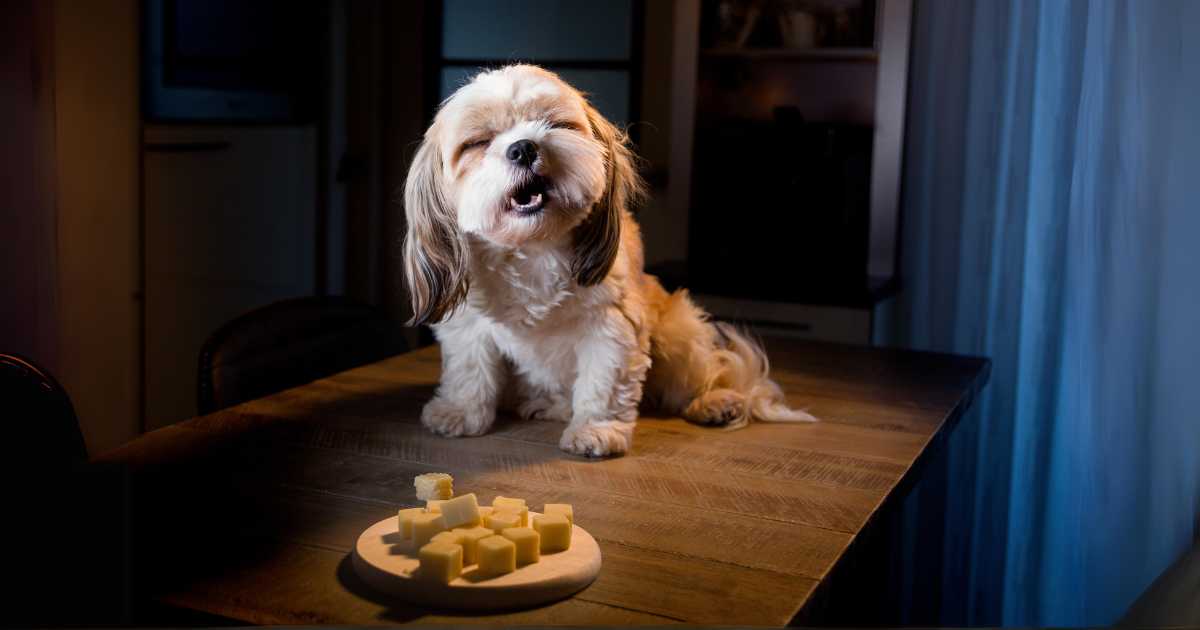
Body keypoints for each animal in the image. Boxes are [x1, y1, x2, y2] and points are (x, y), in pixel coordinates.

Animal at [403, 65, 816, 456]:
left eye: (556, 124)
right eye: (478, 143)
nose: (523, 147)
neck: (535, 248)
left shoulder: (611, 325)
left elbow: (604, 383)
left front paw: (596, 430)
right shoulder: (469, 325)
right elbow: (470, 372)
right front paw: (459, 412)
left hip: (677, 333)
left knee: (696, 380)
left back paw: (714, 402)